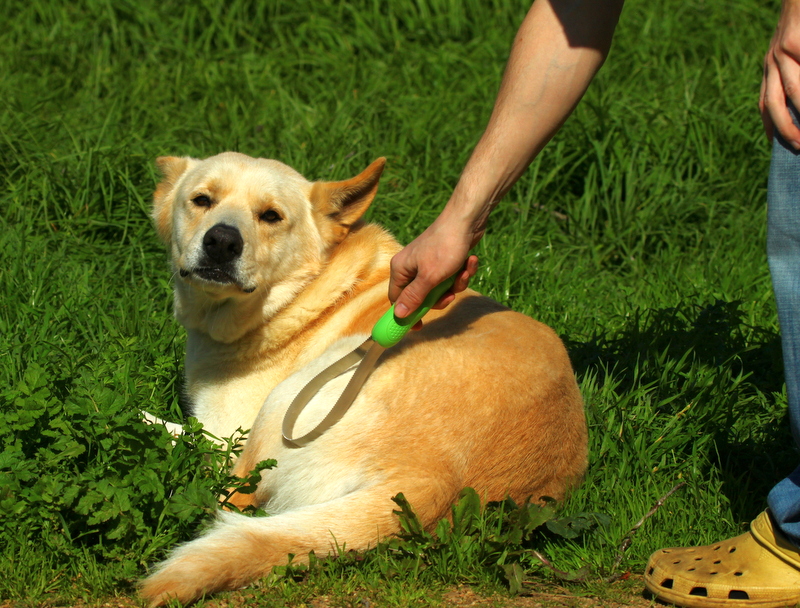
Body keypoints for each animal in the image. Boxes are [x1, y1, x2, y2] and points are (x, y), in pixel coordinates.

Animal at [139, 151, 588, 604]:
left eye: (271, 216)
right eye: (202, 200)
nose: (222, 241)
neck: (302, 294)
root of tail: (434, 479)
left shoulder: (224, 435)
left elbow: (170, 429)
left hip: (287, 401)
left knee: (232, 495)